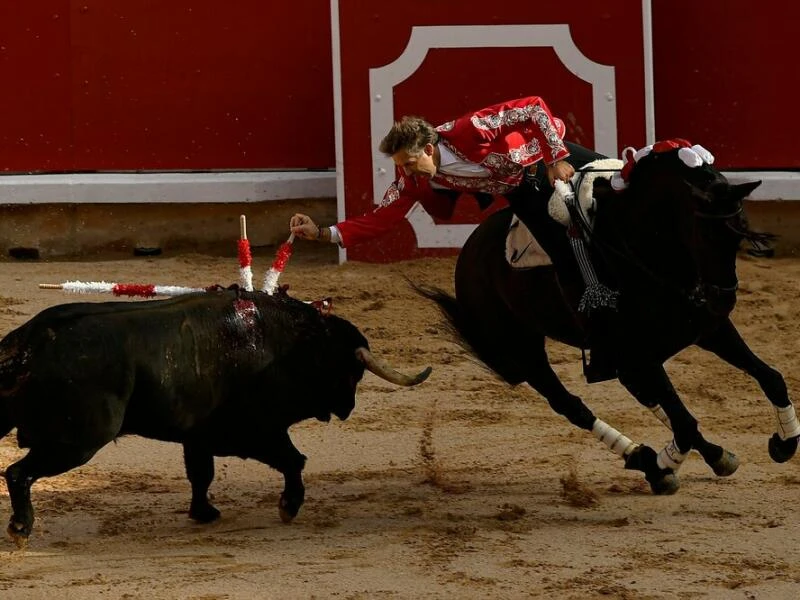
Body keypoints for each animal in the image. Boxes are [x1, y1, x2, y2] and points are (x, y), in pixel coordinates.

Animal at [0, 286, 432, 544]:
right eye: (351, 371)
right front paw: (289, 506)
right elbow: (294, 460)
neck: (289, 343)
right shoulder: (256, 431)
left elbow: (200, 473)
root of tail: (31, 340)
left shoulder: (199, 436)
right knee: (18, 473)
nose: (348, 407)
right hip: (77, 441)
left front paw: (203, 512)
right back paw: (21, 528)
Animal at [418, 149, 800, 496]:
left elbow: (771, 378)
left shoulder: (707, 331)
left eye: (739, 234)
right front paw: (661, 463)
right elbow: (685, 423)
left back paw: (711, 455)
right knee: (571, 405)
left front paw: (783, 444)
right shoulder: (640, 353)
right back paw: (646, 462)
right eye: (705, 234)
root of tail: (469, 250)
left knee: (648, 399)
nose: (723, 299)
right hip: (524, 351)